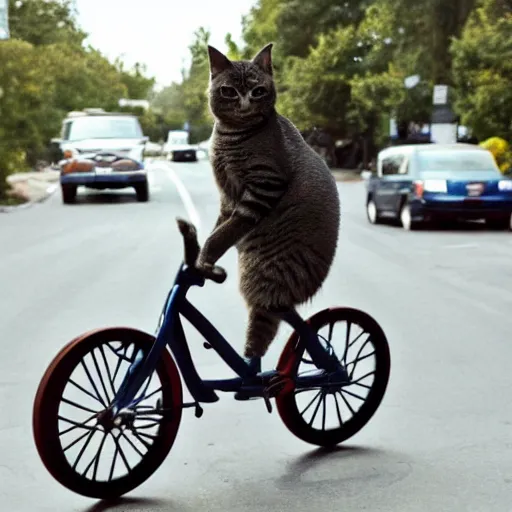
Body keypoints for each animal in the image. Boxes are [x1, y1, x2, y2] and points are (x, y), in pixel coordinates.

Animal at [196, 42, 340, 366]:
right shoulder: (228, 199)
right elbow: (220, 228)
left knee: (266, 323)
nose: (245, 102)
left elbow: (223, 233)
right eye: (229, 91)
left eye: (258, 90)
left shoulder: (262, 189)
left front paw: (205, 255)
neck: (231, 136)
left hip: (262, 275)